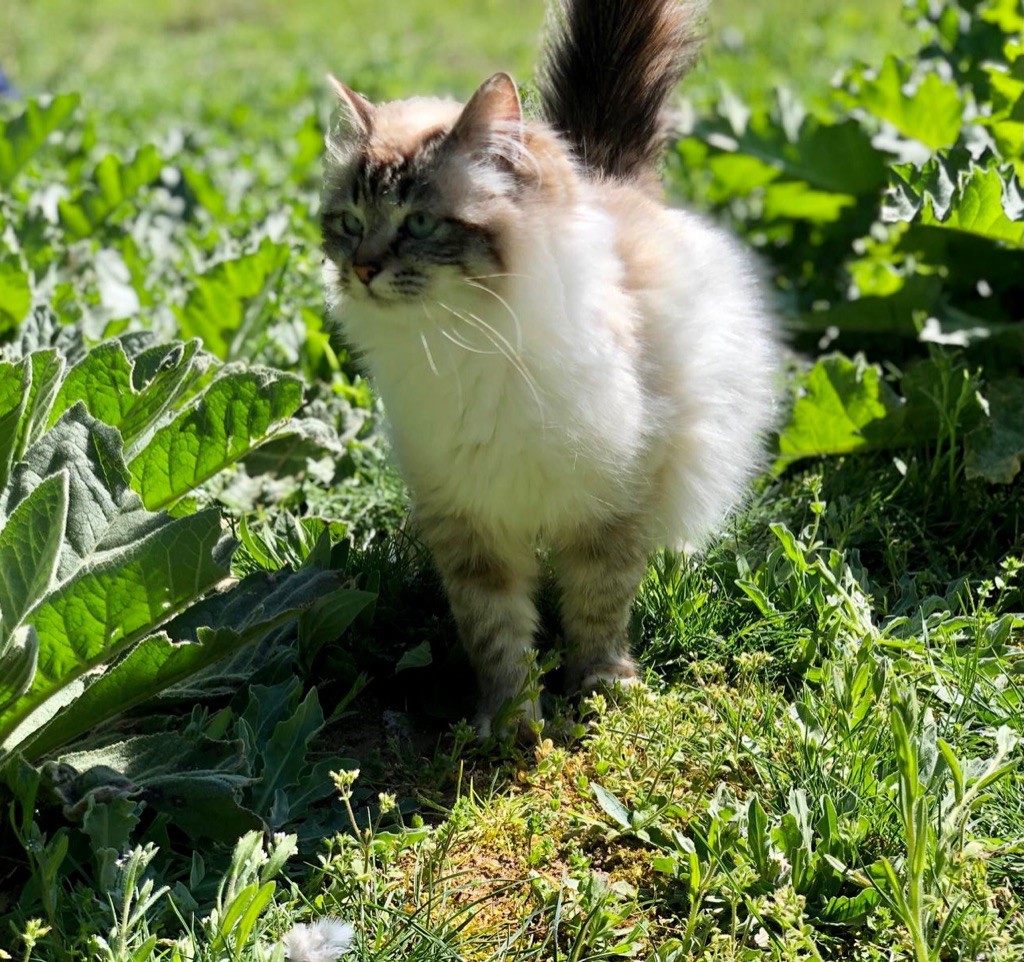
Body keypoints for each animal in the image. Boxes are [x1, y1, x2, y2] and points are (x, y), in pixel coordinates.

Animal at [323, 0, 778, 737]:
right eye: (349, 222)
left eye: (419, 223)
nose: (362, 270)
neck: (467, 344)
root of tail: (606, 175)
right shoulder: (469, 521)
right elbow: (498, 632)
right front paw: (511, 721)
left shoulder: (613, 498)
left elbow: (598, 604)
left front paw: (600, 689)